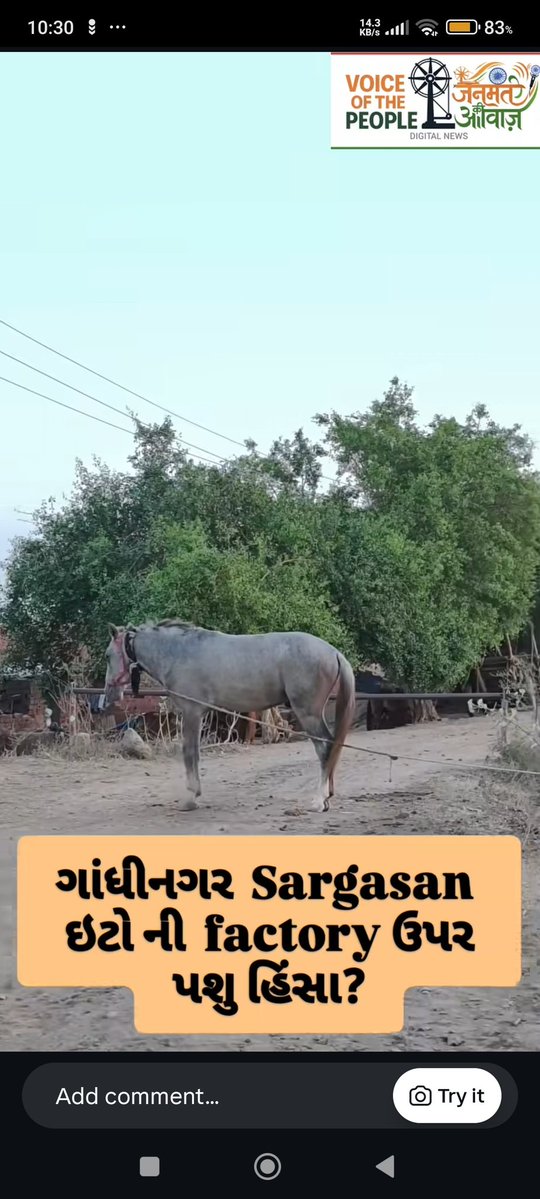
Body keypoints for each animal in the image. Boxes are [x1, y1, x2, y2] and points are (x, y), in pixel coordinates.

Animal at [104, 620, 356, 812]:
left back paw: (318, 801)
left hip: (308, 714)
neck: (181, 653)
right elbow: (195, 753)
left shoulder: (191, 712)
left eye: (107, 655)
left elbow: (189, 752)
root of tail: (334, 652)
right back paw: (327, 796)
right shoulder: (199, 714)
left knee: (324, 748)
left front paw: (190, 799)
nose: (109, 695)